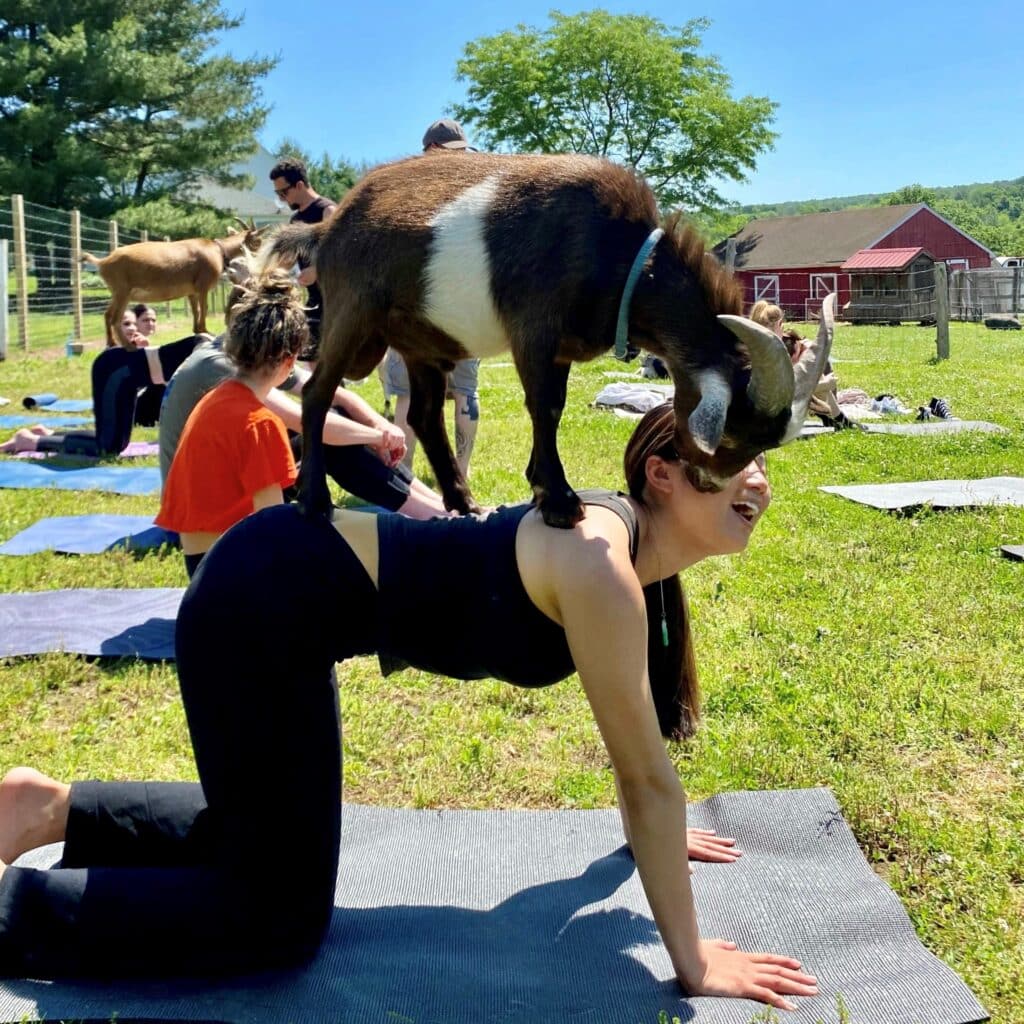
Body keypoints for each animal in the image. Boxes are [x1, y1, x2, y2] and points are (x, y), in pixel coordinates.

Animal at [82, 218, 266, 346]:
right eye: (257, 241)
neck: (218, 250)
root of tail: (103, 261)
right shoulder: (203, 286)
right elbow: (204, 308)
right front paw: (206, 330)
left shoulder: (191, 291)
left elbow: (195, 310)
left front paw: (196, 330)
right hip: (123, 292)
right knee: (115, 318)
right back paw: (129, 346)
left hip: (116, 293)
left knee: (107, 315)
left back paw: (112, 343)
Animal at [272, 153, 831, 528]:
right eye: (732, 435)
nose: (707, 482)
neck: (625, 259)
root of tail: (328, 229)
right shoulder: (535, 329)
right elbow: (544, 405)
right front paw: (559, 500)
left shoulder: (561, 347)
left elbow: (555, 406)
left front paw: (545, 490)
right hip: (352, 314)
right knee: (318, 392)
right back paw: (314, 500)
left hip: (422, 342)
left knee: (425, 415)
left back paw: (464, 503)